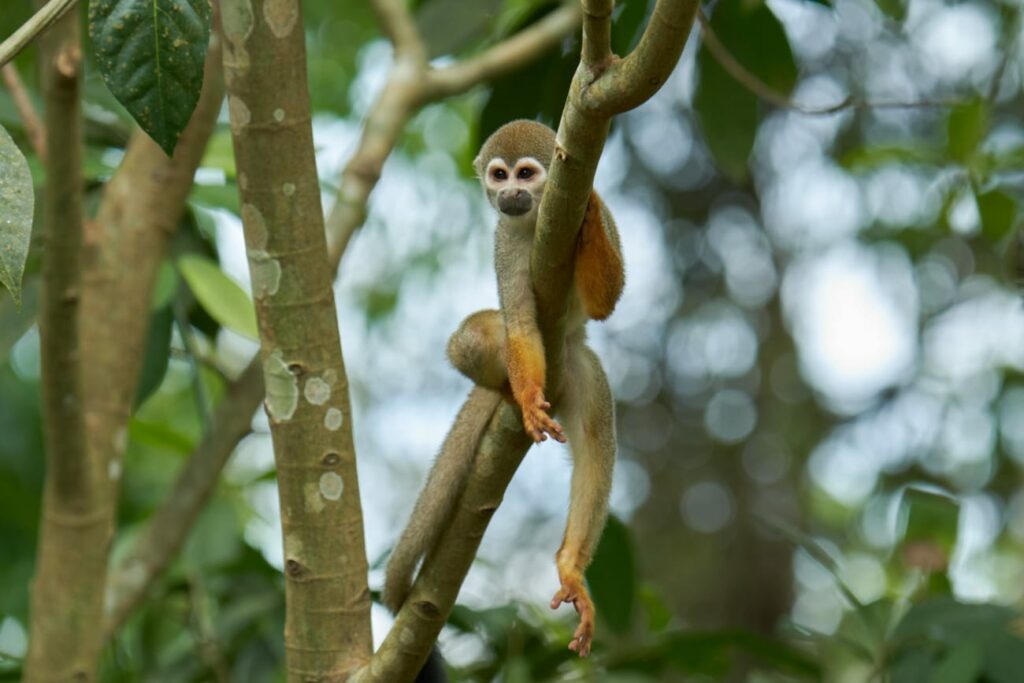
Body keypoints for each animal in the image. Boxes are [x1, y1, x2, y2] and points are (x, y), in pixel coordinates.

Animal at [385, 120, 618, 659]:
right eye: (499, 175)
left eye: (526, 174)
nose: (510, 193)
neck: (538, 223)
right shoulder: (503, 240)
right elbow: (521, 326)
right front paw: (528, 400)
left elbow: (604, 301)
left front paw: (591, 211)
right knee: (473, 339)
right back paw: (508, 391)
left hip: (580, 367)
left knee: (596, 438)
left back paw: (571, 565)